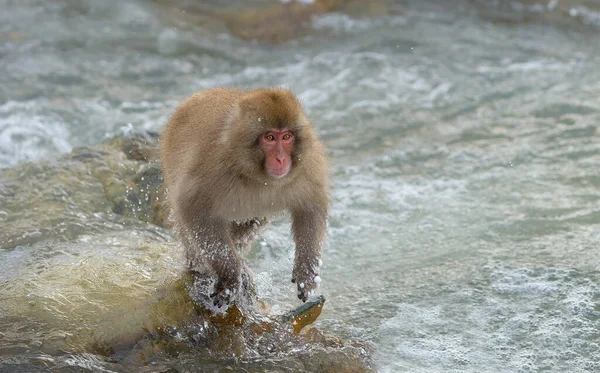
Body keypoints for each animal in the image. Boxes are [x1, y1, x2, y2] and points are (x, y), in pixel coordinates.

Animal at [159, 88, 328, 308]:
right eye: (270, 137)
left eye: (287, 136)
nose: (281, 159)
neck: (256, 175)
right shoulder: (212, 169)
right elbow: (194, 210)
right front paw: (230, 277)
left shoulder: (307, 166)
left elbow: (310, 209)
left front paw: (307, 271)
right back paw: (199, 264)